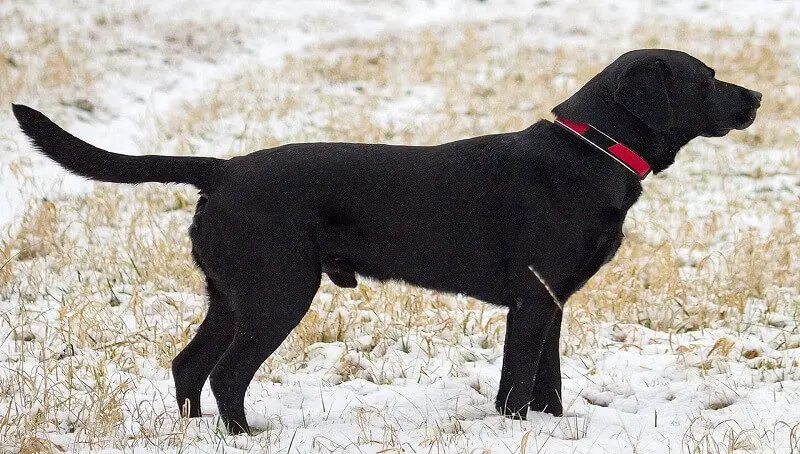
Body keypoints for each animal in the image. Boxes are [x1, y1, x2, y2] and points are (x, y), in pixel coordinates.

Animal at [14, 48, 764, 432]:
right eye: (706, 78)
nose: (757, 97)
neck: (590, 152)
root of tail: (222, 170)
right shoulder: (530, 302)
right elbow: (516, 384)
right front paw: (516, 431)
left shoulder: (552, 301)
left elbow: (547, 381)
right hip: (278, 292)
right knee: (225, 372)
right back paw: (245, 436)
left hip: (229, 295)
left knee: (187, 365)